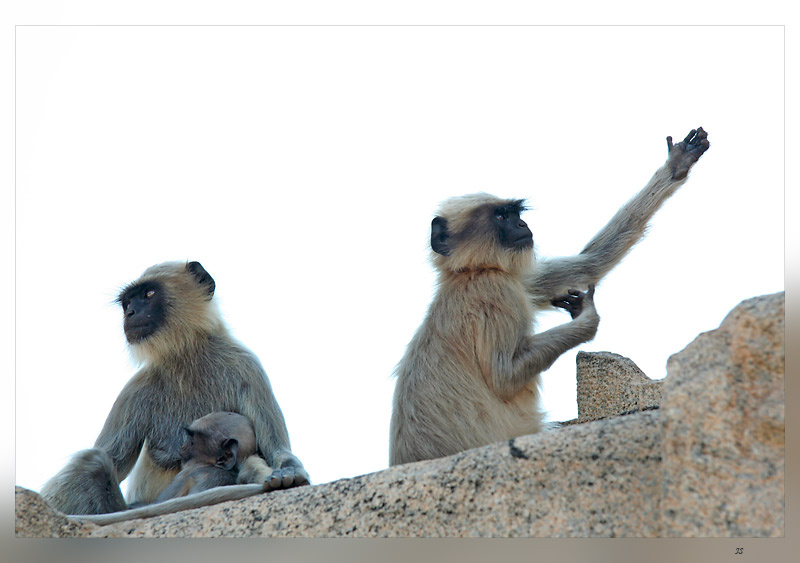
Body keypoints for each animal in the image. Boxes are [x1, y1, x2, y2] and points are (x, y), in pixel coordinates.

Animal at [41, 260, 309, 516]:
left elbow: (276, 450)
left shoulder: (247, 367)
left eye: (148, 294)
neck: (186, 356)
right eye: (128, 302)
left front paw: (289, 472)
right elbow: (112, 461)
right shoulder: (135, 389)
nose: (131, 312)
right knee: (93, 461)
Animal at [389, 127, 710, 466]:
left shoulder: (511, 277)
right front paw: (587, 321)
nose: (522, 224)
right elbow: (504, 377)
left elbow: (589, 263)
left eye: (515, 214)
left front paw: (676, 166)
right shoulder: (494, 288)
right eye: (501, 217)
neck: (469, 273)